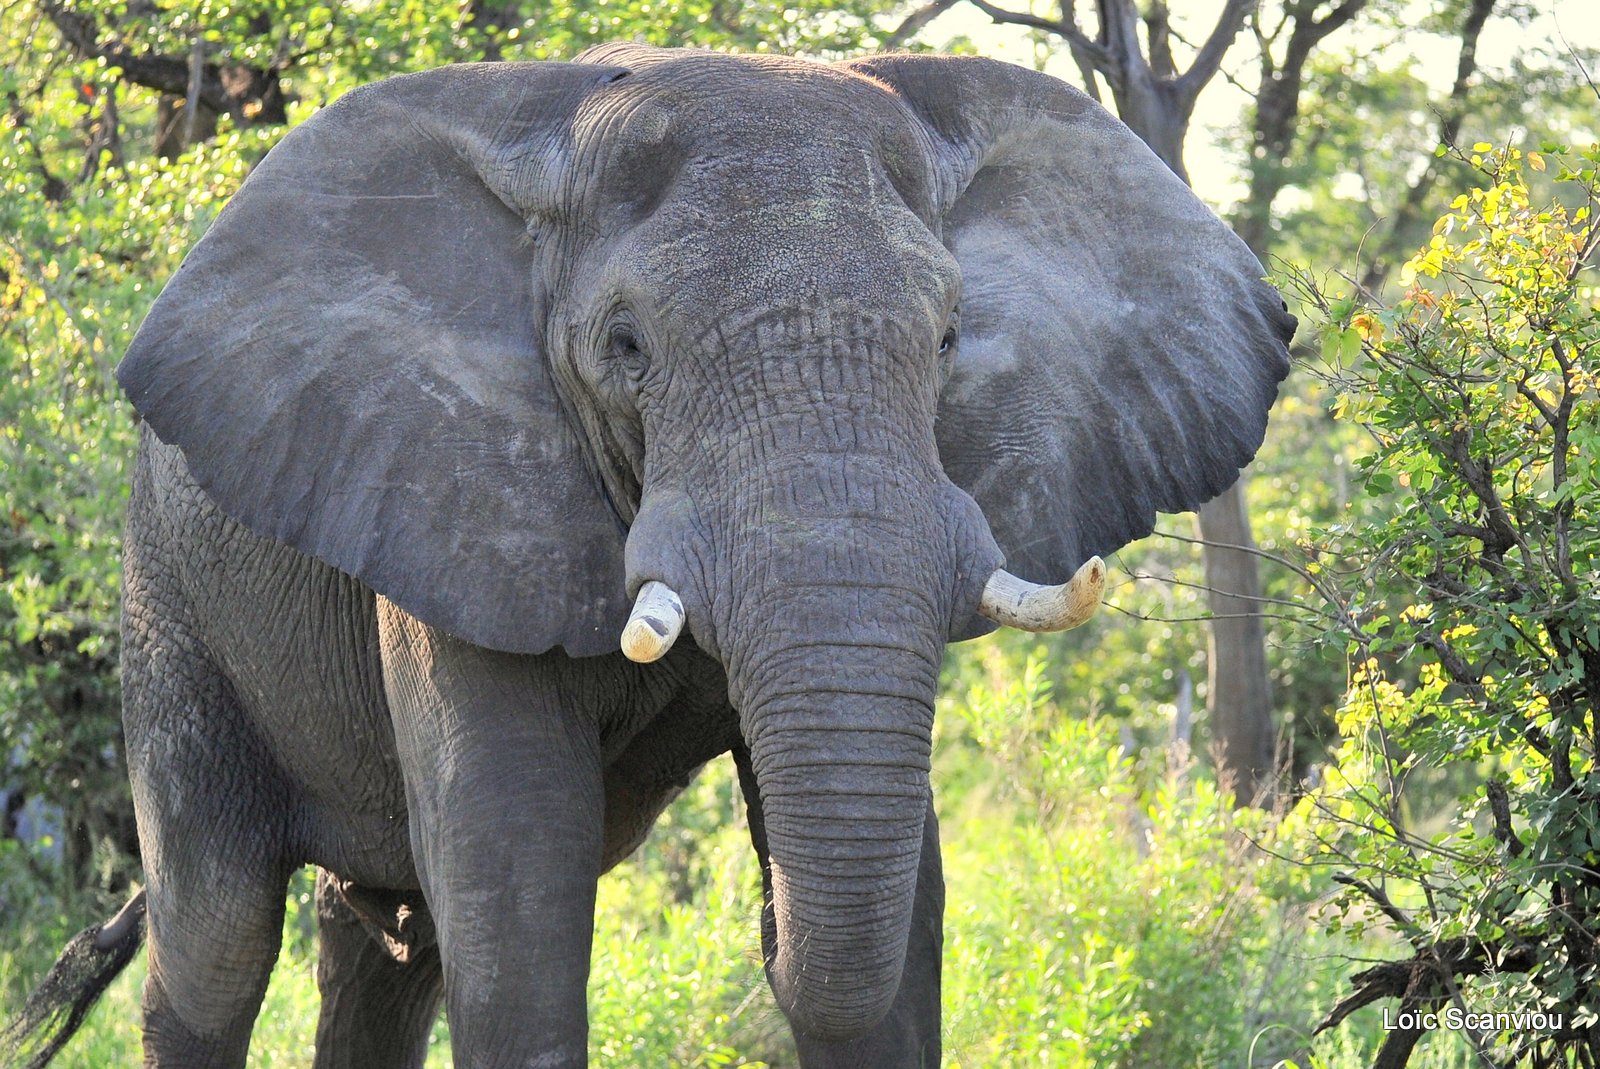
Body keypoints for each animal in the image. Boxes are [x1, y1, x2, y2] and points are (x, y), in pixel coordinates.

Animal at [96, 43, 1286, 1069]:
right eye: (626, 346)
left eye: (948, 338)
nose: (763, 930)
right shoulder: (451, 499)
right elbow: (515, 878)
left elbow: (907, 913)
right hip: (167, 603)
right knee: (218, 942)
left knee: (383, 959)